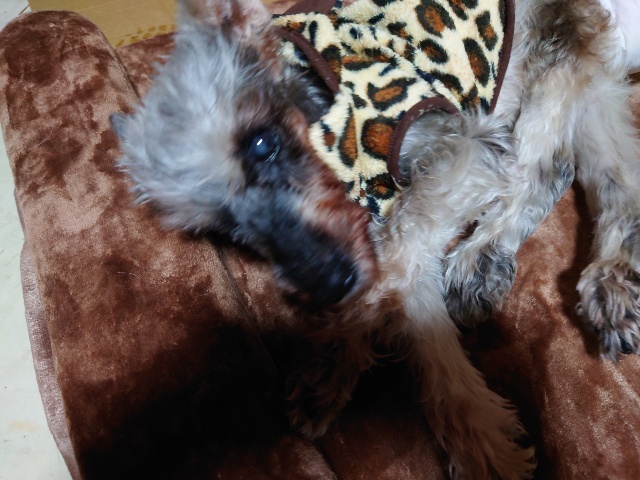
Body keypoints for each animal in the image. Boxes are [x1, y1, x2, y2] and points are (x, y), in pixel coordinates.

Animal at [110, 0, 640, 477]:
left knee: (535, 171)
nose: (331, 282)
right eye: (224, 228)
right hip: (593, 105)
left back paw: (482, 260)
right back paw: (610, 285)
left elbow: (398, 264)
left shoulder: (463, 153)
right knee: (609, 186)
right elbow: (405, 285)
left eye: (262, 144)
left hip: (551, 77)